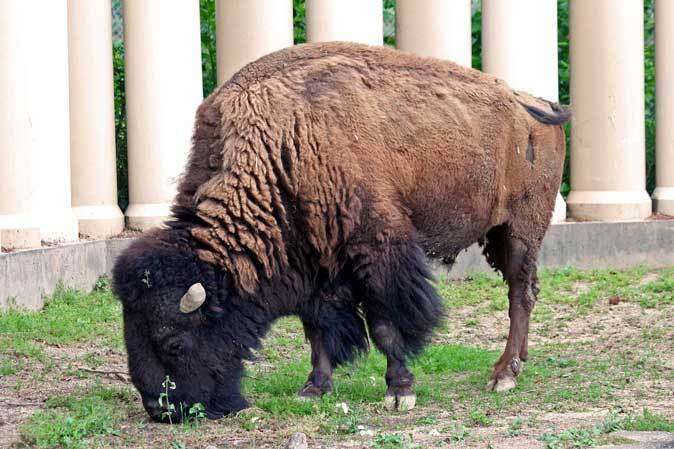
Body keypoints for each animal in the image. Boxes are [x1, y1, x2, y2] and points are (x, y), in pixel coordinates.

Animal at [113, 41, 568, 420]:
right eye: (128, 335)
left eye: (172, 340)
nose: (159, 409)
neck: (282, 147)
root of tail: (534, 104)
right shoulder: (313, 262)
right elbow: (316, 327)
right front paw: (315, 387)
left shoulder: (376, 250)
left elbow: (384, 324)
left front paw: (400, 392)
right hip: (500, 235)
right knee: (526, 290)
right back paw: (517, 364)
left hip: (521, 229)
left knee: (520, 293)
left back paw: (503, 375)